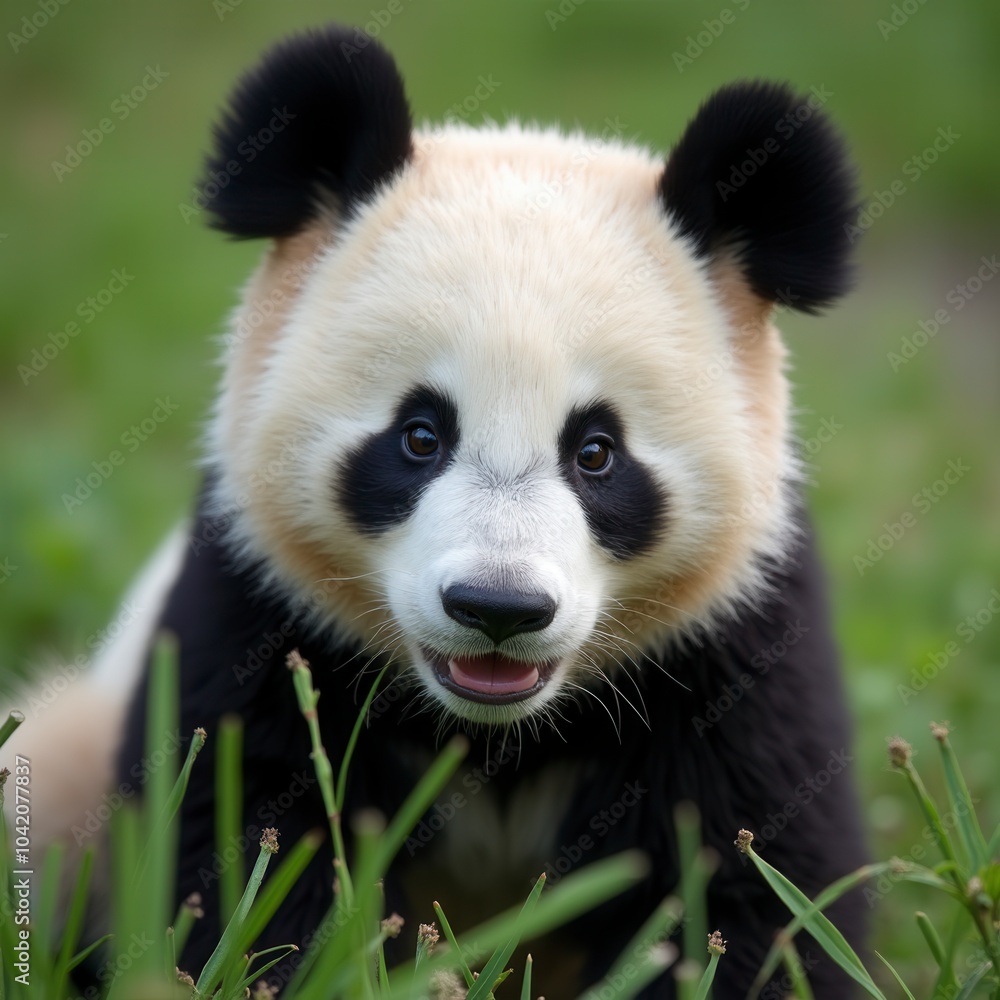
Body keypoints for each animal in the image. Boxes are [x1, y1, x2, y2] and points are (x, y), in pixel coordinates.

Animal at [13, 23, 869, 999]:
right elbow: (239, 835)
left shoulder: (728, 640)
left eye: (597, 453)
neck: (496, 729)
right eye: (420, 435)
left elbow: (752, 880)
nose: (499, 609)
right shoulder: (257, 601)